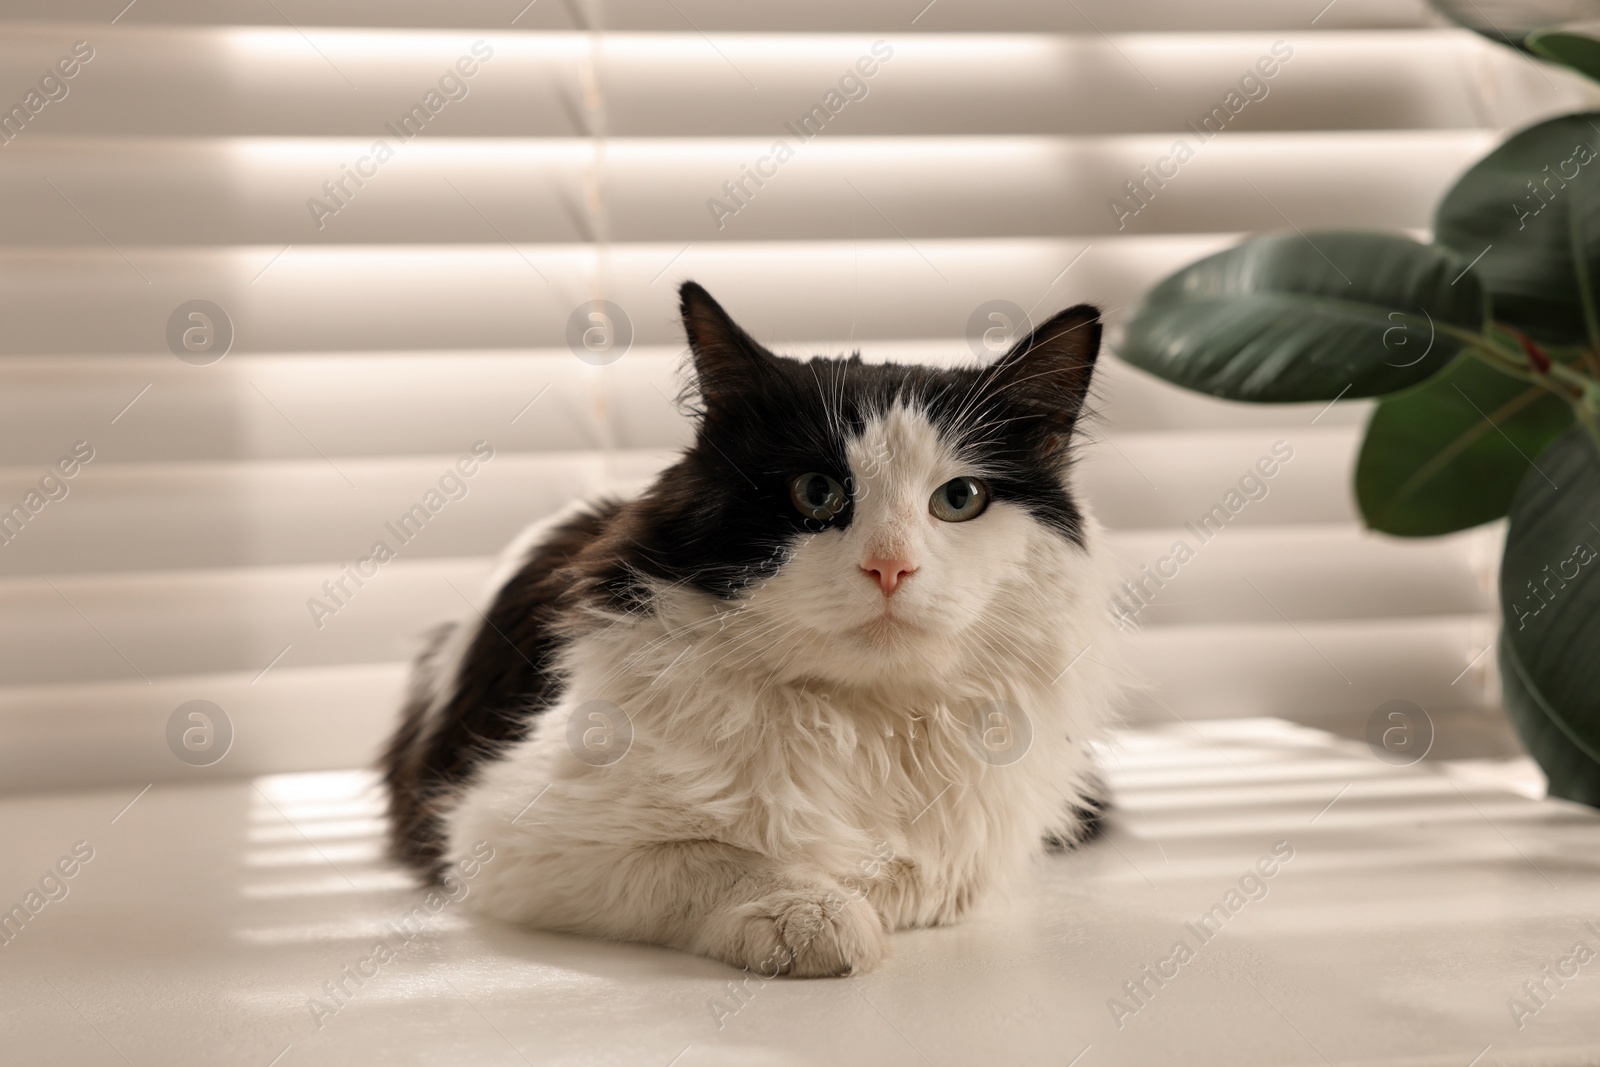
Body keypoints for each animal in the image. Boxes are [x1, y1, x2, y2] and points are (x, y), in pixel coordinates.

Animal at [379, 281, 1120, 979]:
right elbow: (716, 859)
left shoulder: (966, 862)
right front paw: (810, 912)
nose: (890, 566)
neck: (860, 720)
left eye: (959, 499)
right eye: (816, 492)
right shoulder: (505, 831)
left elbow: (908, 877)